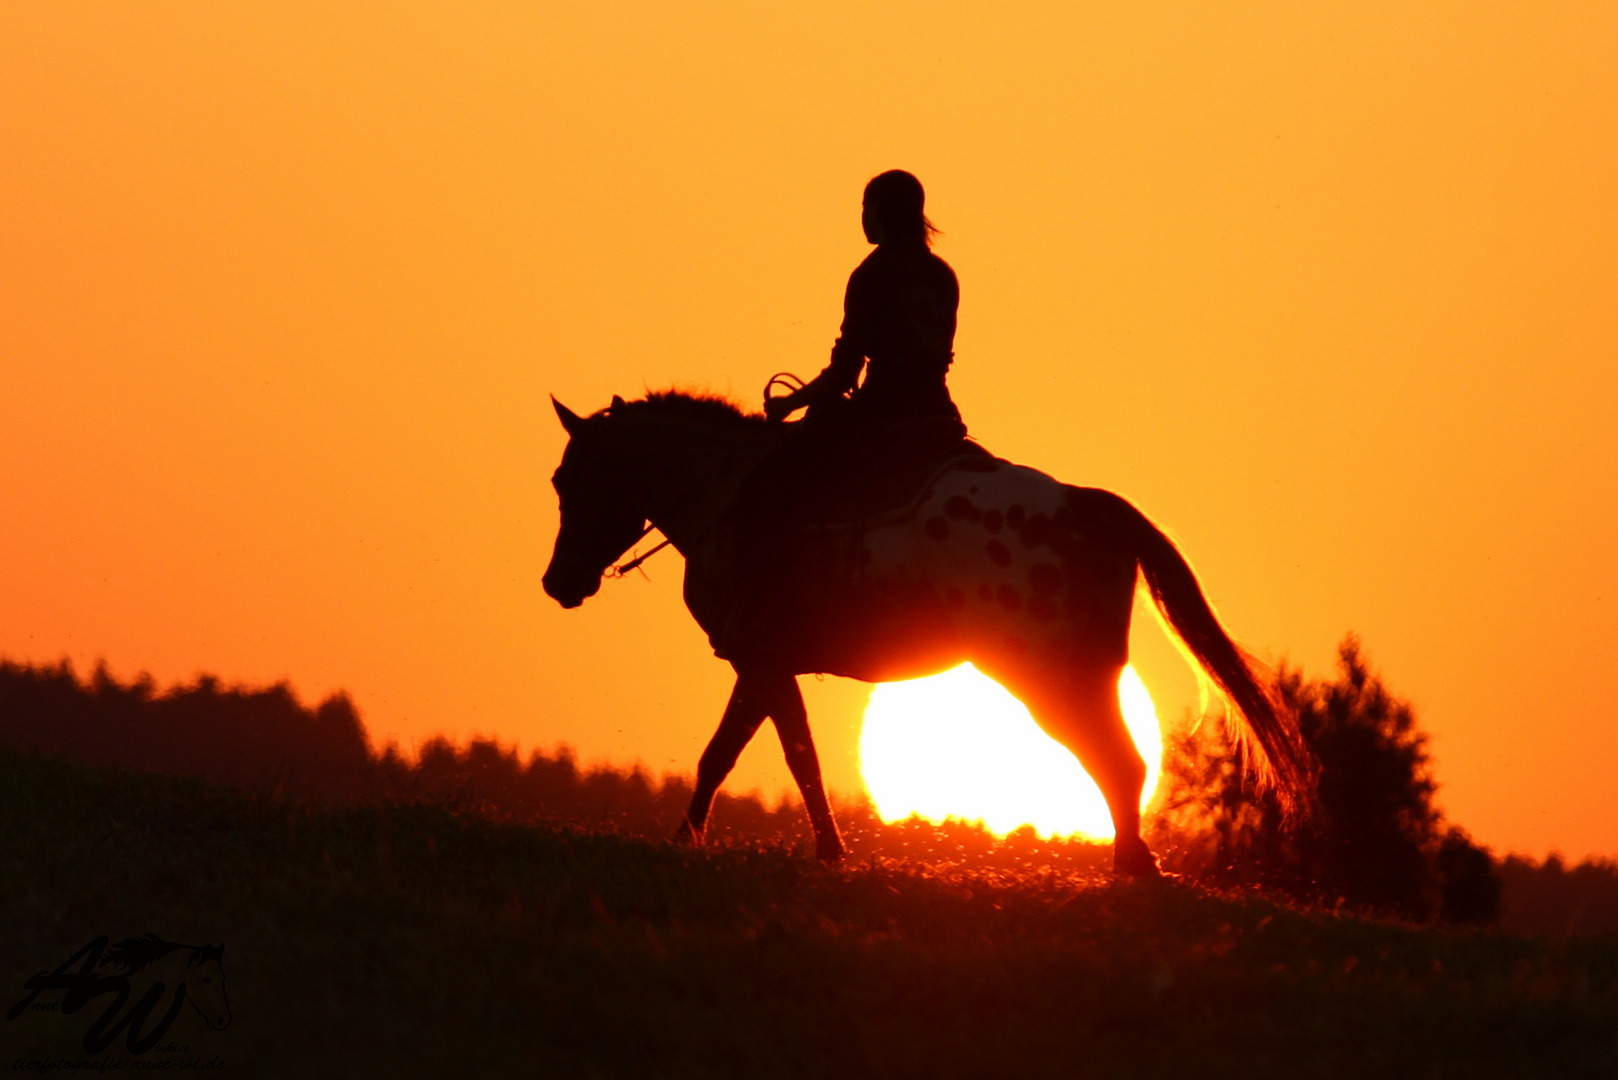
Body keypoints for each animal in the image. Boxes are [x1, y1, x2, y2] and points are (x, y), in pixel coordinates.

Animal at [543, 388, 1313, 880]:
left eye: (569, 479)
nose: (558, 583)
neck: (724, 491)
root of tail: (1088, 505)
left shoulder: (757, 655)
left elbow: (727, 756)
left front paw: (685, 840)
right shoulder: (771, 663)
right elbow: (791, 756)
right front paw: (827, 852)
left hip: (1049, 676)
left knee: (1118, 762)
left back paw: (1133, 867)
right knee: (1121, 764)